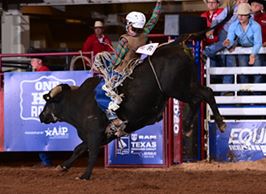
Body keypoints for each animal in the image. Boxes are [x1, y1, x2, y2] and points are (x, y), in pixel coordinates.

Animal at [39, 39, 225, 180]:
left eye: (48, 102)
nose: (41, 116)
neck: (78, 102)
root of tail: (179, 48)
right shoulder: (102, 136)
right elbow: (79, 149)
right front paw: (63, 166)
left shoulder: (94, 133)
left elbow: (90, 154)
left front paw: (85, 175)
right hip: (188, 85)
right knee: (202, 95)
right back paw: (189, 126)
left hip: (179, 88)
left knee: (204, 94)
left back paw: (214, 123)